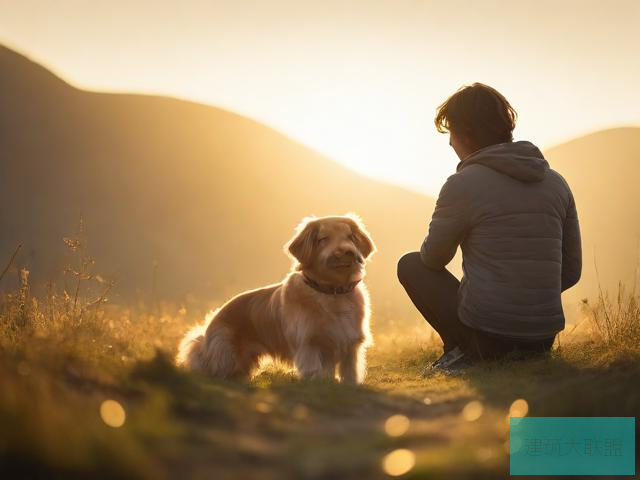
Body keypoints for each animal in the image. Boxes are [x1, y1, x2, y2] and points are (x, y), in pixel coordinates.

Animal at [175, 216, 376, 384]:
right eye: (323, 239)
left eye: (350, 237)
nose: (348, 252)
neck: (332, 292)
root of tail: (211, 323)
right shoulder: (309, 345)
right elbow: (314, 373)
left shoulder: (350, 345)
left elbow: (350, 374)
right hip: (226, 355)